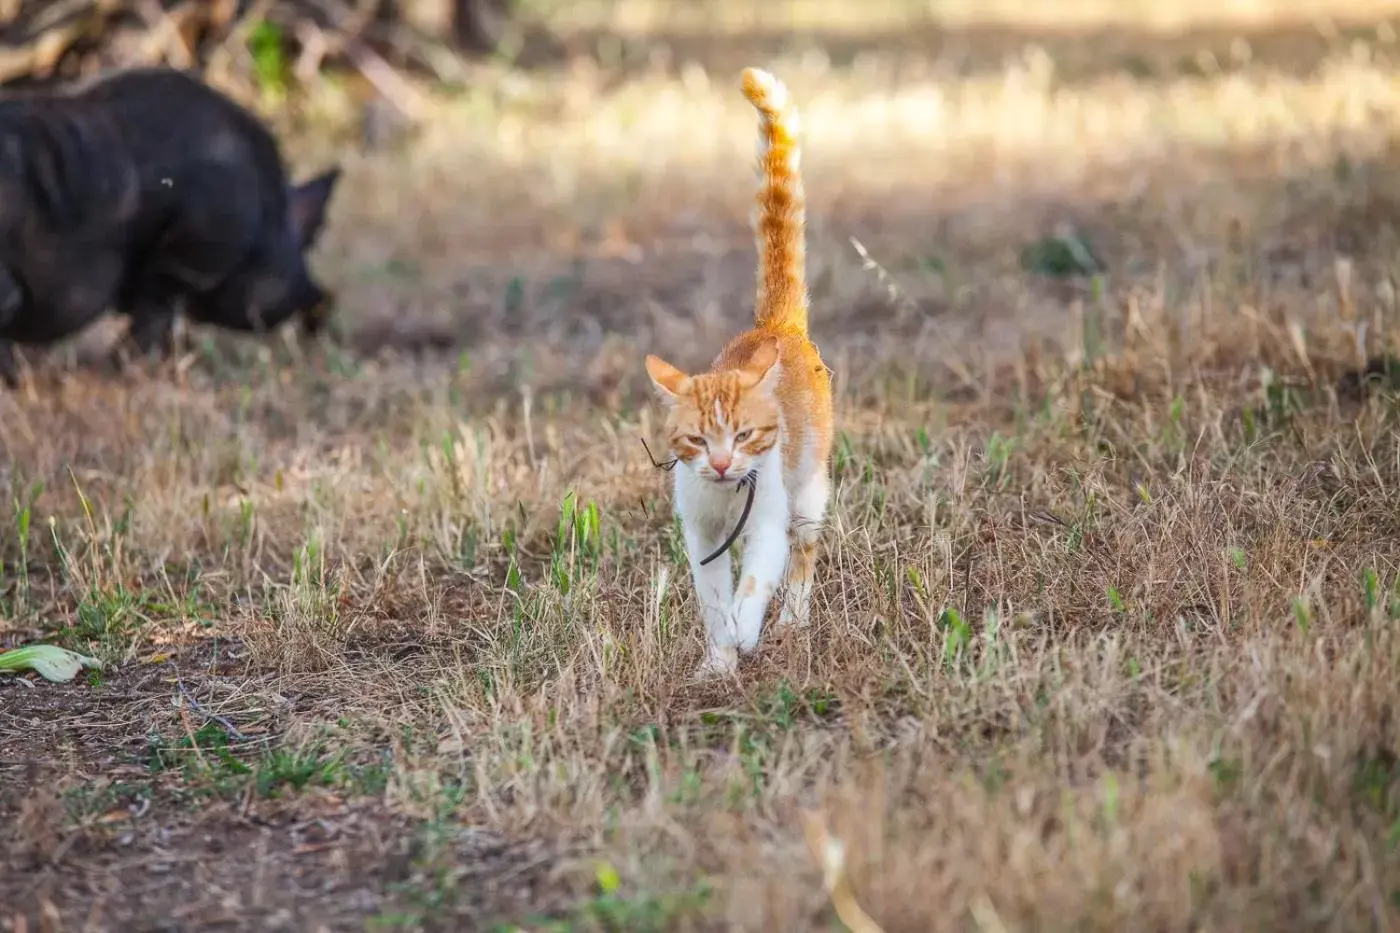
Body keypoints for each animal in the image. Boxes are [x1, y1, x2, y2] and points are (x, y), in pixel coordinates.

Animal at [644, 67, 828, 675]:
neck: (726, 500)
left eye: (745, 435)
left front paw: (746, 632)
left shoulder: (767, 521)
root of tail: (775, 326)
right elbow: (712, 596)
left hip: (809, 490)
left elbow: (755, 581)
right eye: (700, 440)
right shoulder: (700, 535)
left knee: (803, 553)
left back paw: (792, 621)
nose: (724, 465)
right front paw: (720, 656)